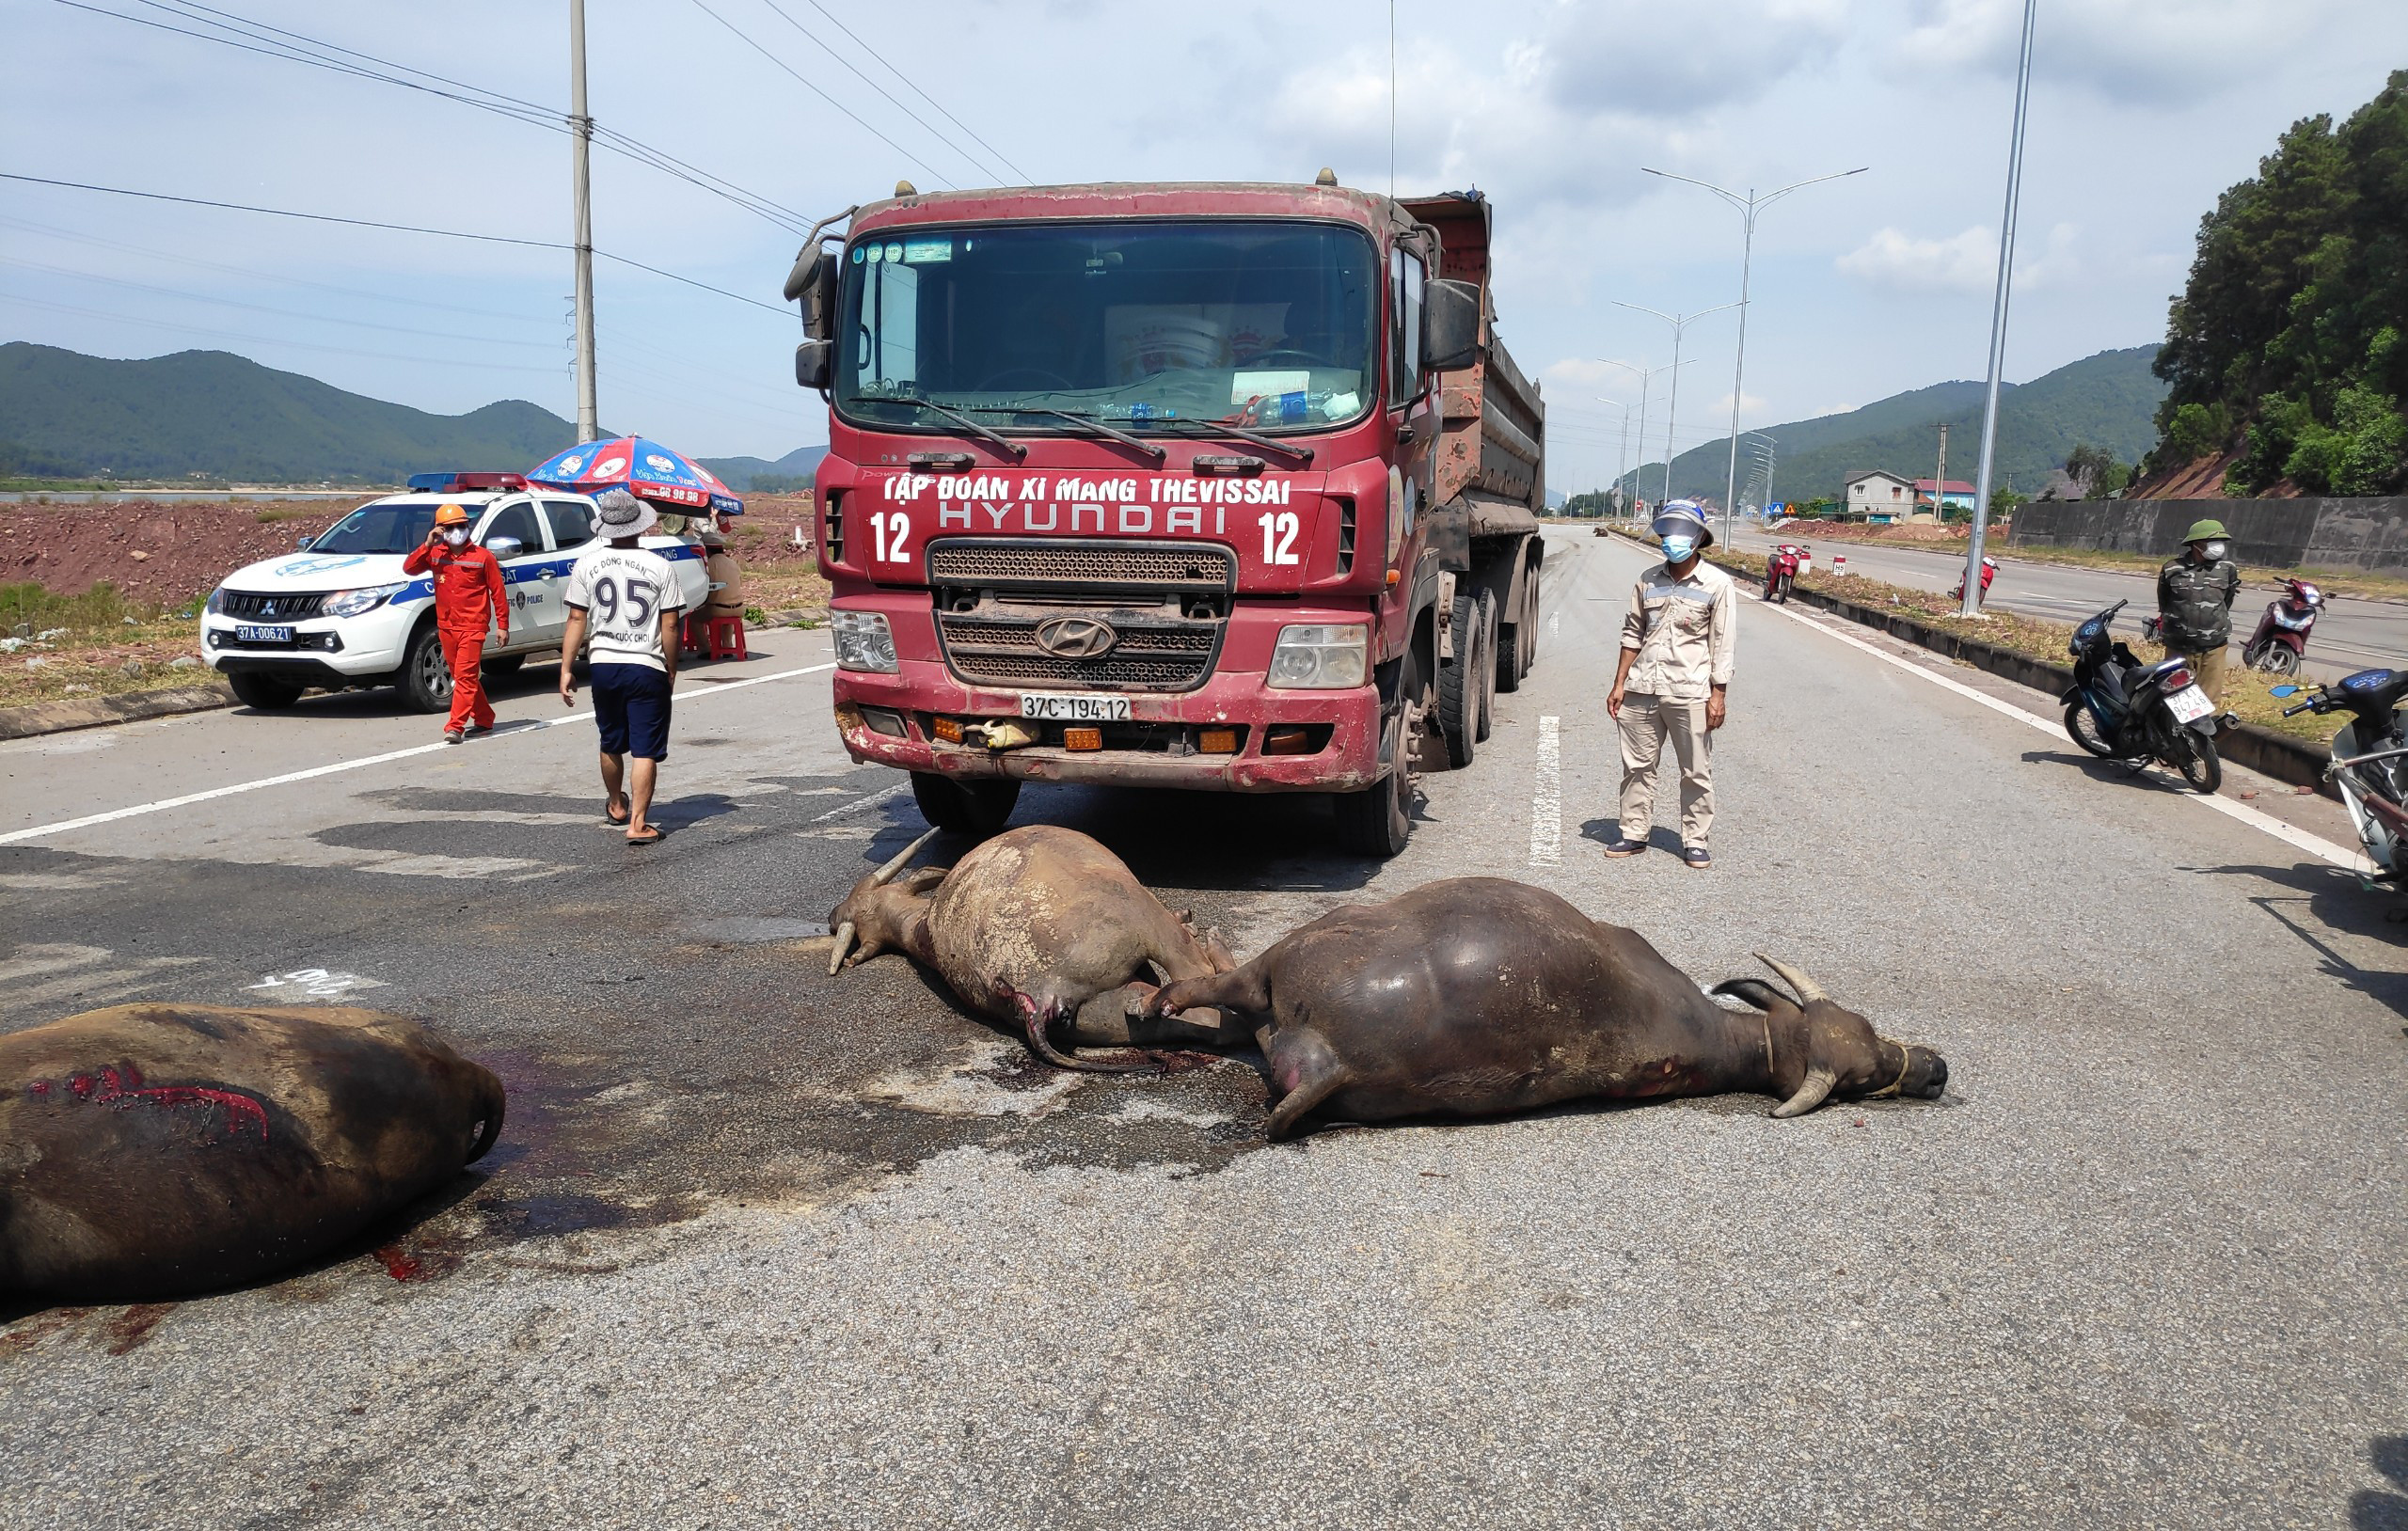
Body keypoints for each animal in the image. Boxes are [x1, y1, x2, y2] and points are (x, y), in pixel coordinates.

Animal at [832, 823, 1242, 1064]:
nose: (834, 915)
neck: (920, 926)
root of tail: (1035, 994)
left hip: (1112, 1013)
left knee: (1203, 1019)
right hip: (1138, 912)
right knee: (1199, 981)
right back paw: (1217, 947)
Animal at [1136, 871, 1945, 1136]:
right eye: (1865, 1075)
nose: (1933, 1068)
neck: (1714, 1030)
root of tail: (1329, 1054)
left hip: (1271, 984)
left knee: (1224, 1006)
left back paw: (1160, 1007)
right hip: (1282, 962)